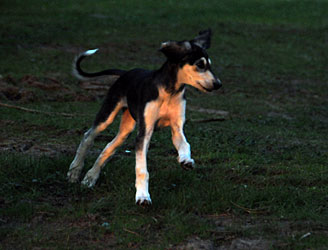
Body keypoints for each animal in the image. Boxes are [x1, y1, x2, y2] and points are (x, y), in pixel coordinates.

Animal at [66, 29, 222, 205]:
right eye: (200, 65)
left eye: (209, 65)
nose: (218, 84)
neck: (169, 91)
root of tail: (125, 72)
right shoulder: (144, 133)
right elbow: (142, 169)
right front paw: (142, 196)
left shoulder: (177, 128)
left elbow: (184, 145)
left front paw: (186, 160)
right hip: (108, 115)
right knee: (88, 136)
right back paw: (74, 171)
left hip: (126, 129)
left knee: (108, 148)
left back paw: (90, 178)